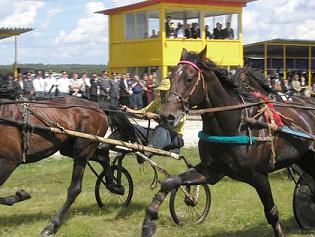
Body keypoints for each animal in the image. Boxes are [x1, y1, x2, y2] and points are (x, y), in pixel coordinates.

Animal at [0, 96, 133, 235]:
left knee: (75, 189)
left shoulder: (9, 161)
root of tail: (96, 106)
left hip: (83, 148)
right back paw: (115, 186)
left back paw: (51, 226)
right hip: (69, 148)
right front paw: (20, 195)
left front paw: (21, 194)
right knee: (103, 157)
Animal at [142, 45, 315, 236]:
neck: (236, 122)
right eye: (170, 77)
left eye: (189, 79)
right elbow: (169, 182)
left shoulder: (259, 176)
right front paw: (149, 222)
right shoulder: (211, 170)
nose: (167, 116)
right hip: (306, 158)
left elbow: (272, 213)